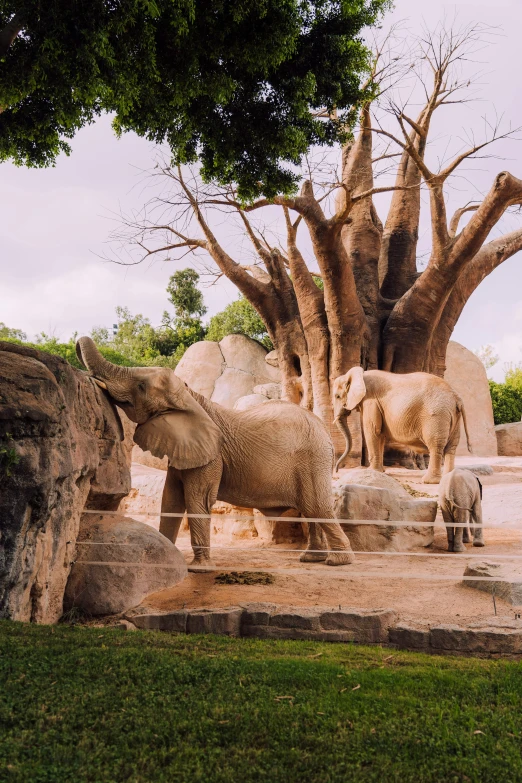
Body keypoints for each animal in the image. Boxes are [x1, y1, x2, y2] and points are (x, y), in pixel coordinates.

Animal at [76, 336, 354, 568]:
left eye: (141, 386)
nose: (78, 344)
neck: (191, 396)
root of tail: (324, 431)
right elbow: (171, 499)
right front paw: (166, 558)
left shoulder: (210, 457)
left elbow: (196, 500)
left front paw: (198, 568)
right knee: (311, 510)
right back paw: (311, 559)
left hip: (313, 459)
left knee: (318, 507)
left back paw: (338, 562)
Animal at [334, 368, 472, 484]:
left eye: (337, 396)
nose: (336, 470)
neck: (358, 374)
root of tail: (456, 398)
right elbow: (380, 434)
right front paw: (381, 472)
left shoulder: (370, 401)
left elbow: (373, 431)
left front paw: (371, 472)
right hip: (453, 416)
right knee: (451, 446)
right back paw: (449, 478)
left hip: (437, 415)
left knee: (435, 445)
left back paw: (429, 481)